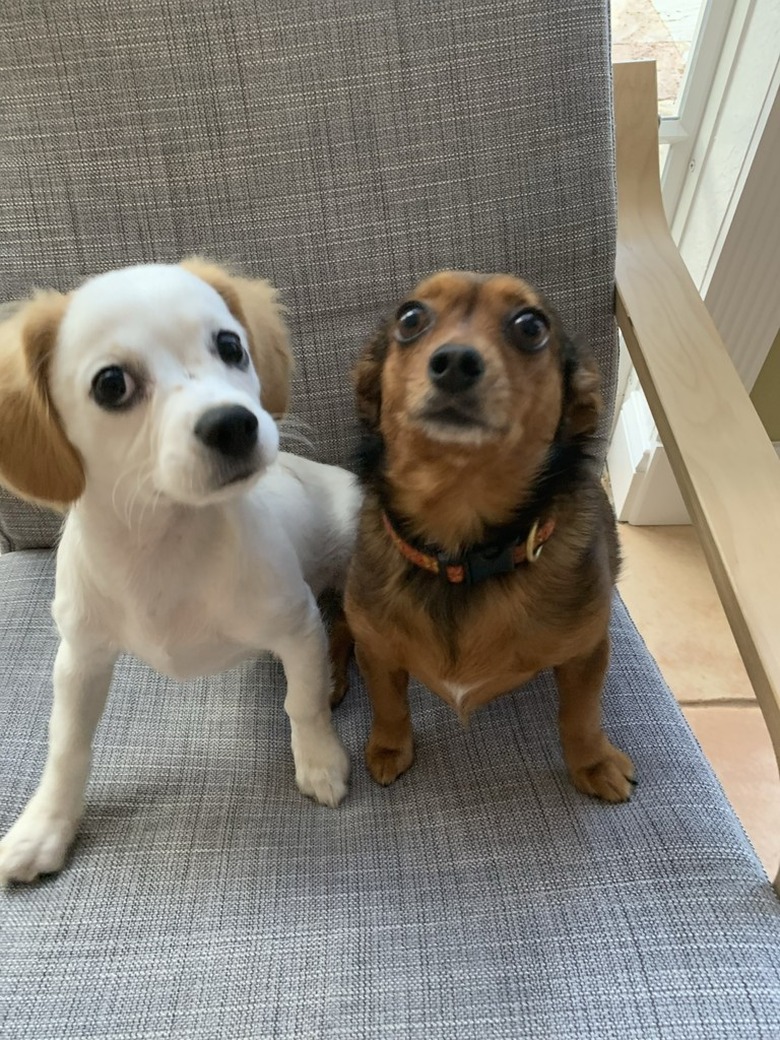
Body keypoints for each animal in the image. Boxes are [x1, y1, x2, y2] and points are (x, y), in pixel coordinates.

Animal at [0, 260, 361, 886]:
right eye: (111, 384)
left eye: (230, 346)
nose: (234, 424)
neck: (165, 546)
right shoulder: (80, 658)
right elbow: (66, 746)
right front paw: (44, 826)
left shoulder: (297, 627)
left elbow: (303, 702)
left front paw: (319, 760)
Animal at [347, 272, 636, 798]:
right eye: (410, 318)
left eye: (530, 326)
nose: (455, 363)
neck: (463, 552)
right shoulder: (375, 650)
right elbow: (388, 704)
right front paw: (389, 747)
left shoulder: (586, 652)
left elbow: (581, 713)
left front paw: (593, 762)